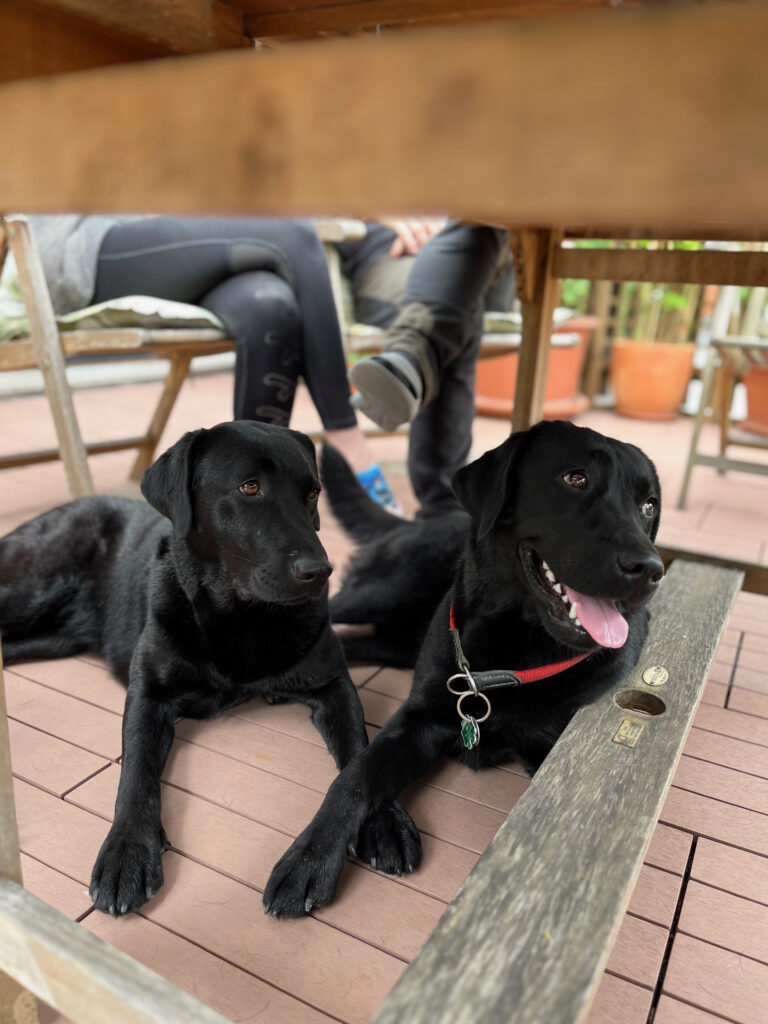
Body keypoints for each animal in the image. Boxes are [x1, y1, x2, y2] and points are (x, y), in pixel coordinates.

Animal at [0, 421, 376, 917]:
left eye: (312, 493)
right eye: (249, 487)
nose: (320, 571)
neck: (239, 618)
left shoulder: (334, 685)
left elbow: (358, 766)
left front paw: (355, 841)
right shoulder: (148, 694)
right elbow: (136, 773)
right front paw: (127, 853)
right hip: (31, 585)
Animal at [264, 420, 664, 917]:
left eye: (649, 506)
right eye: (576, 479)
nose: (650, 569)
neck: (509, 657)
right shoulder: (417, 718)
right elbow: (355, 777)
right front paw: (308, 860)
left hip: (399, 638)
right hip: (383, 592)